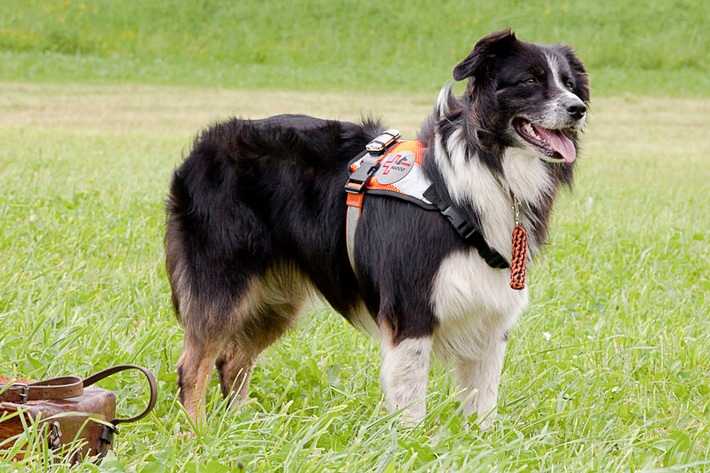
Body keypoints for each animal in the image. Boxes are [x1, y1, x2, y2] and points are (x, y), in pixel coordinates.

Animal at [165, 28, 588, 428]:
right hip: (224, 278)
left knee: (232, 360)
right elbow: (411, 405)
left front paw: (480, 443)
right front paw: (412, 444)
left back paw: (241, 426)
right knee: (193, 365)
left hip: (275, 295)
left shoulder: (490, 314)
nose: (579, 108)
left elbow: (483, 405)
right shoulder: (411, 308)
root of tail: (201, 148)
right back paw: (198, 435)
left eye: (569, 83)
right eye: (529, 80)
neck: (481, 172)